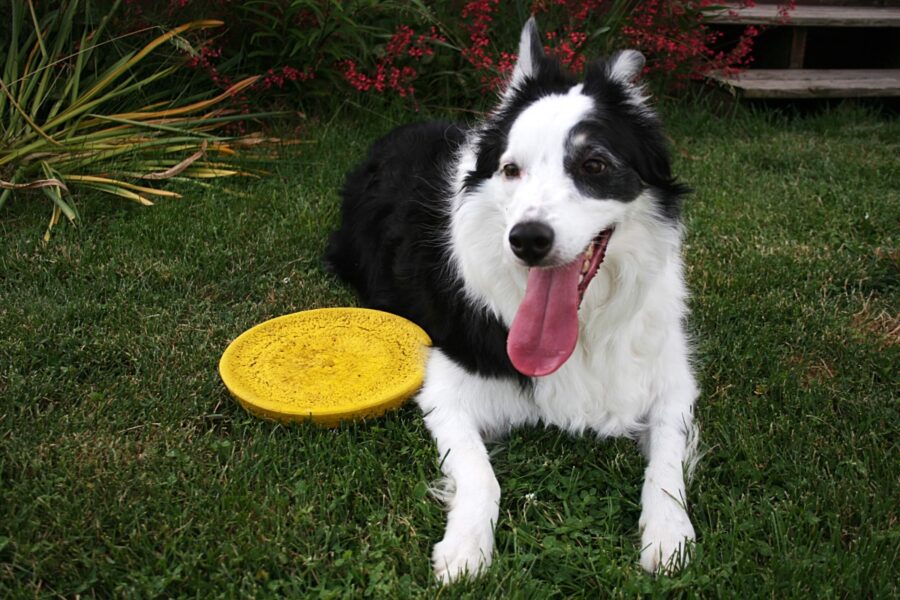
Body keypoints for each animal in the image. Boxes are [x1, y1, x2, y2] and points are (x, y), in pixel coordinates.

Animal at [326, 17, 700, 580]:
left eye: (594, 164)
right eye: (510, 170)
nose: (527, 239)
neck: (584, 329)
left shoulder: (672, 379)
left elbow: (667, 463)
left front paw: (670, 533)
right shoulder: (446, 385)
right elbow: (481, 473)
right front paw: (465, 547)